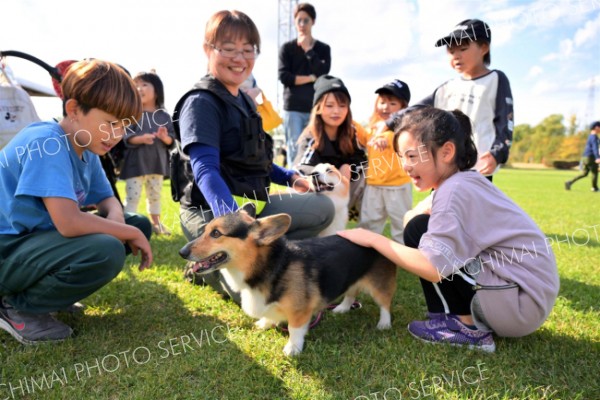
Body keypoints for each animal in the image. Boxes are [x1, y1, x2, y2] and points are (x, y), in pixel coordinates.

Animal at [178, 205, 396, 354]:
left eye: (216, 233)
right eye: (206, 231)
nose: (182, 252)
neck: (271, 267)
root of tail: (375, 236)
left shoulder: (301, 311)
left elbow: (294, 329)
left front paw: (293, 348)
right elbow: (270, 316)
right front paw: (264, 324)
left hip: (379, 284)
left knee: (385, 304)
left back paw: (384, 324)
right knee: (351, 293)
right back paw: (342, 308)